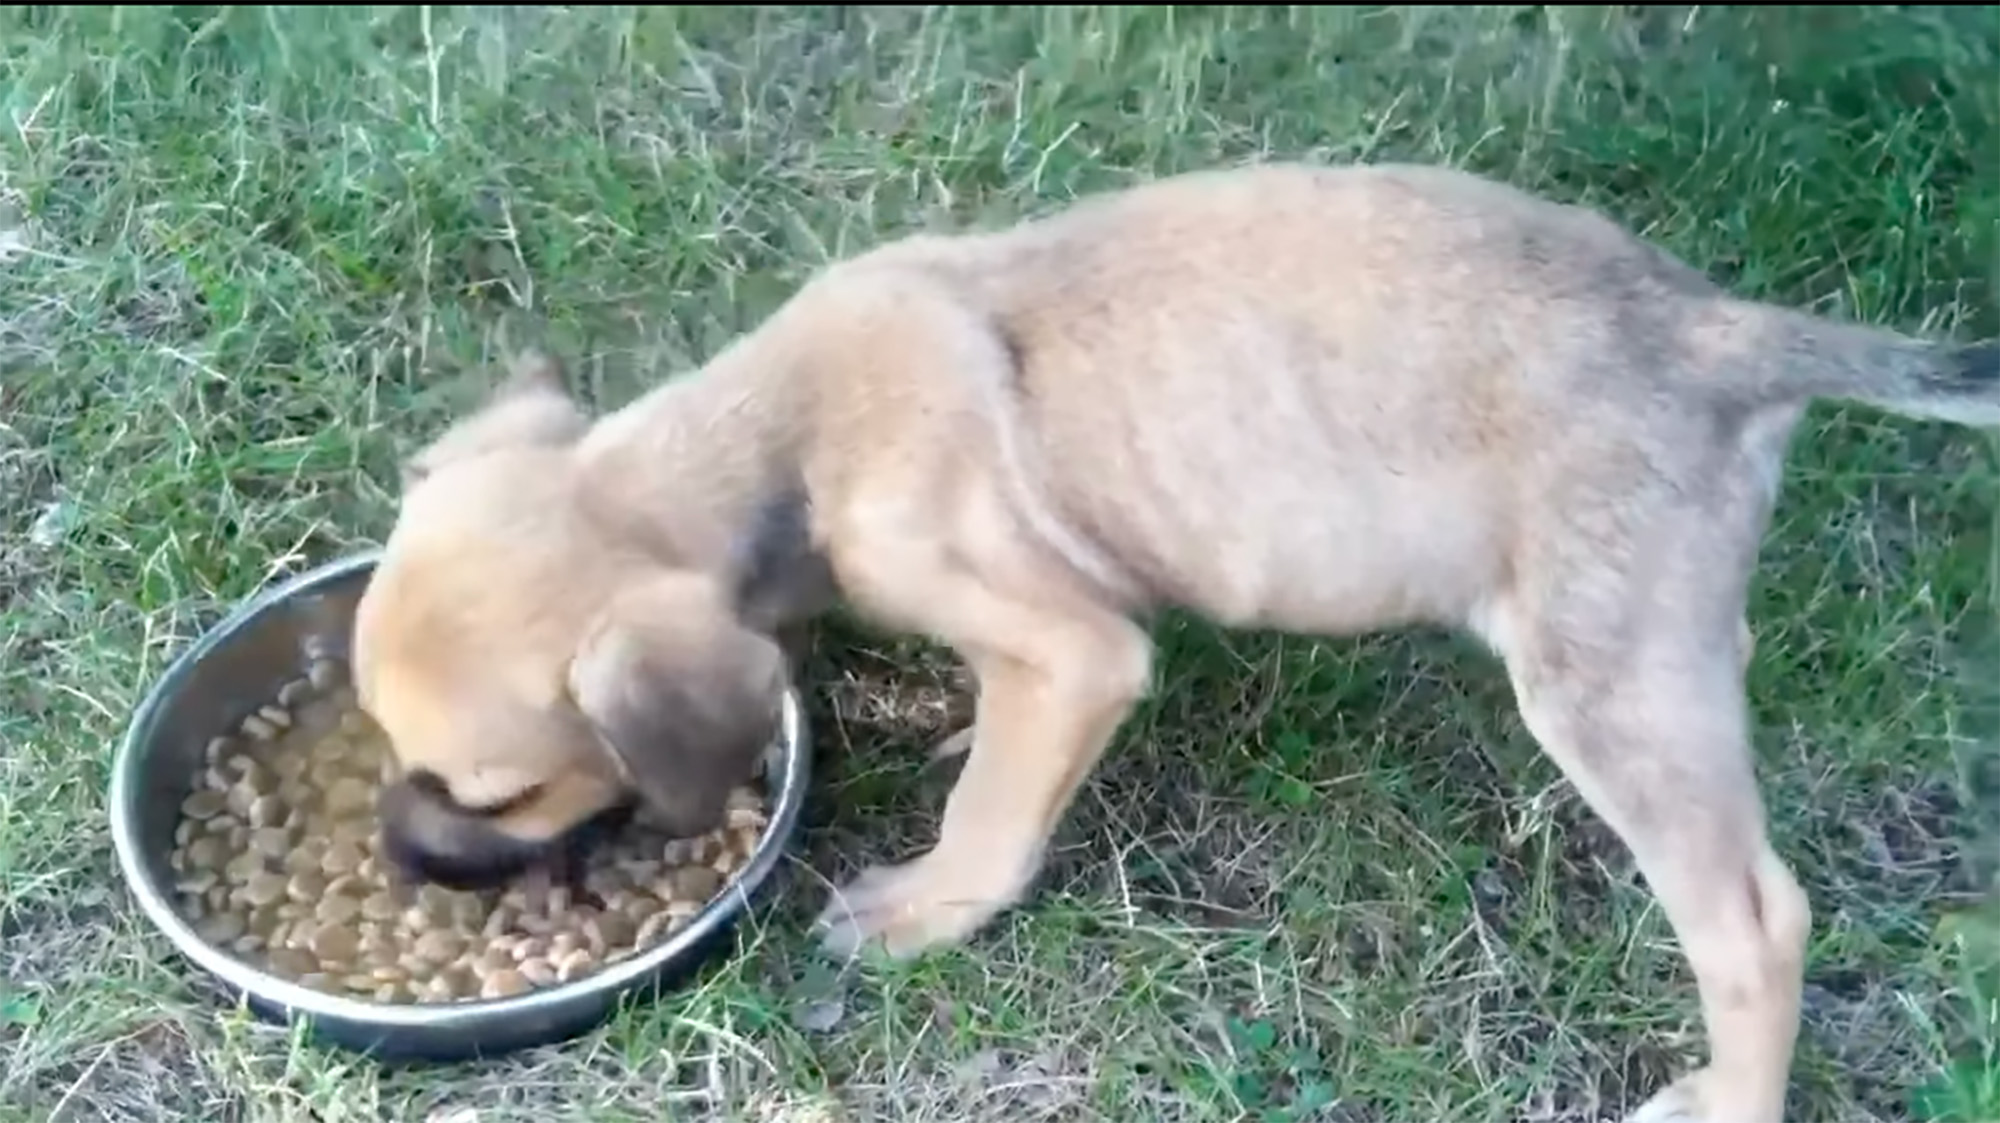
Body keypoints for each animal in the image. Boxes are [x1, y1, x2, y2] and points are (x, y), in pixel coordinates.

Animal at [352, 161, 1992, 1111]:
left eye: (502, 791)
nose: (401, 861)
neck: (782, 439)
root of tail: (1720, 332)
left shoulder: (1077, 648)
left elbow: (997, 810)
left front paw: (926, 906)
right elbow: (997, 736)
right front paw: (958, 725)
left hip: (1607, 686)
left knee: (1755, 922)